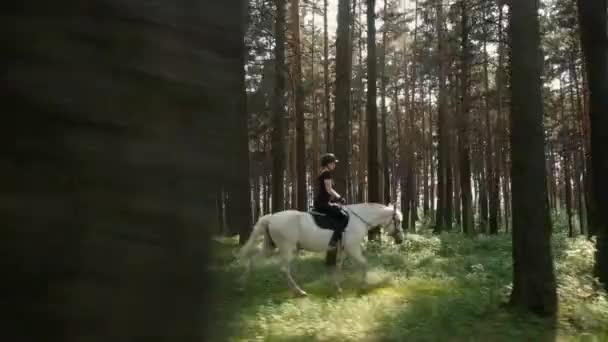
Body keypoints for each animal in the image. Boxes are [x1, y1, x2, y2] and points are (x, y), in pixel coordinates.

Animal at [238, 202, 404, 296]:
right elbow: (364, 264)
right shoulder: (353, 248)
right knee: (284, 269)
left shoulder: (343, 249)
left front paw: (338, 287)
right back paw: (299, 291)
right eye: (398, 221)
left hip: (270, 247)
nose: (400, 240)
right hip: (287, 248)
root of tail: (271, 218)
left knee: (253, 260)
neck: (359, 219)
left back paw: (245, 284)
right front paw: (363, 286)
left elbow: (338, 266)